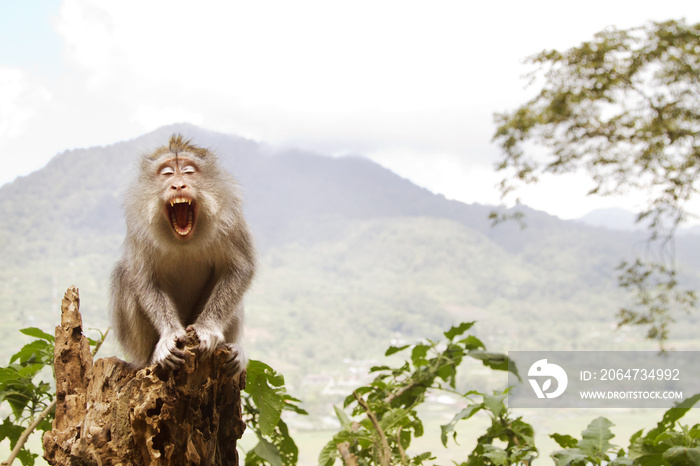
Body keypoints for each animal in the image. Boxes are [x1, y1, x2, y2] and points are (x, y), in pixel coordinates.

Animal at [111, 134, 258, 374]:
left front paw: (207, 328)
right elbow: (144, 279)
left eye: (188, 171)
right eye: (167, 173)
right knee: (123, 274)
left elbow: (240, 269)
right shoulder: (138, 226)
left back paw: (234, 350)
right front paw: (169, 337)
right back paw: (150, 358)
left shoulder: (231, 217)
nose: (178, 184)